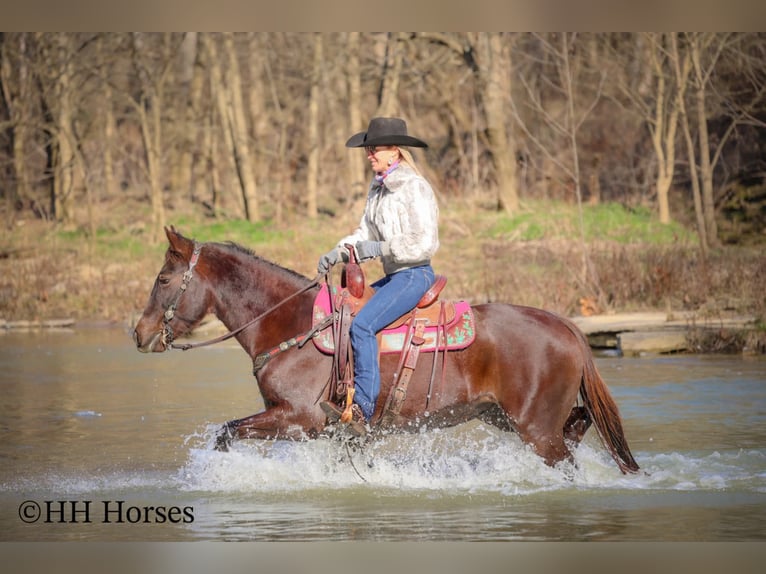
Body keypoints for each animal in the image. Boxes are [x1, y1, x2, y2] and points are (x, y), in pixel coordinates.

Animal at [133, 227, 640, 474]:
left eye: (163, 278)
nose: (139, 333)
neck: (293, 324)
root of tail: (566, 326)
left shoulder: (297, 419)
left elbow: (225, 434)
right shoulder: (341, 433)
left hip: (536, 429)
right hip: (508, 417)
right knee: (578, 425)